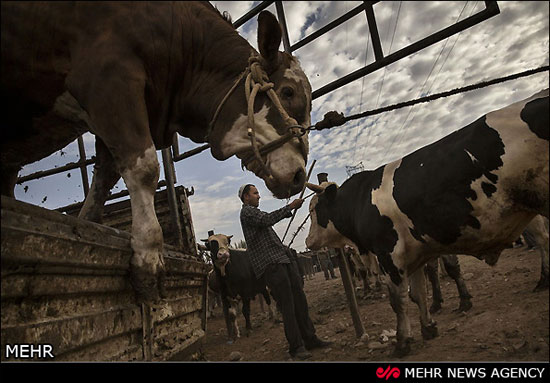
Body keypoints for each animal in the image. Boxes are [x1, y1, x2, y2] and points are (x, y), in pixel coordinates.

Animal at [0, 1, 312, 304]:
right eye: (288, 92)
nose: (299, 175)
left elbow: (104, 179)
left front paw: (85, 224)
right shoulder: (108, 79)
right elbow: (144, 169)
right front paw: (148, 255)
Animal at [306, 89, 550, 356]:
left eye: (314, 209)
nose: (307, 241)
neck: (360, 200)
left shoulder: (389, 254)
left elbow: (399, 300)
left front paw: (402, 341)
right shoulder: (414, 254)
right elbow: (417, 294)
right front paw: (428, 327)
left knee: (543, 242)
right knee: (544, 240)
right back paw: (543, 280)